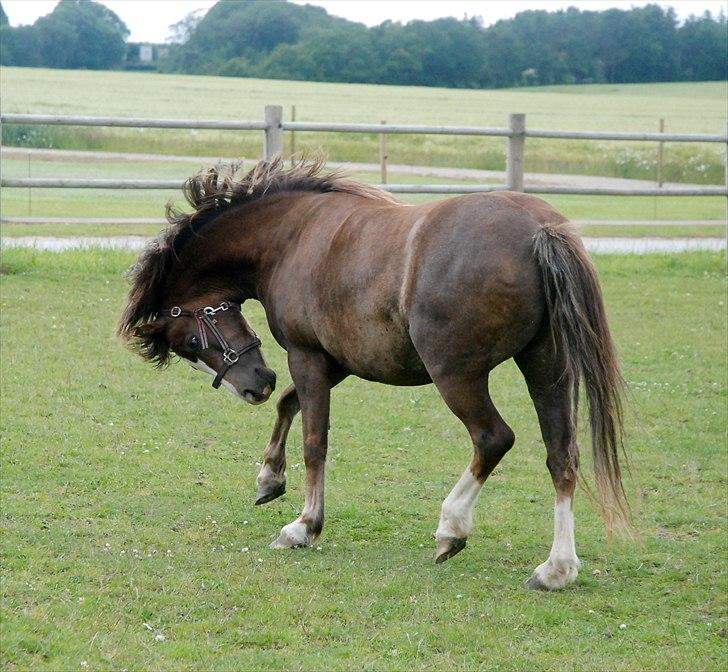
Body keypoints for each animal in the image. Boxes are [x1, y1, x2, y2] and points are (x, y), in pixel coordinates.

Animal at [118, 158, 624, 588]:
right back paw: (557, 568)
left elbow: (314, 442)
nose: (254, 384)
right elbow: (288, 405)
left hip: (457, 375)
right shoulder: (336, 361)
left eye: (190, 342)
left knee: (493, 438)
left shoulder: (307, 356)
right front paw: (270, 478)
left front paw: (304, 526)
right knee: (561, 456)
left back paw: (452, 527)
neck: (290, 236)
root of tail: (540, 230)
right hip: (546, 367)